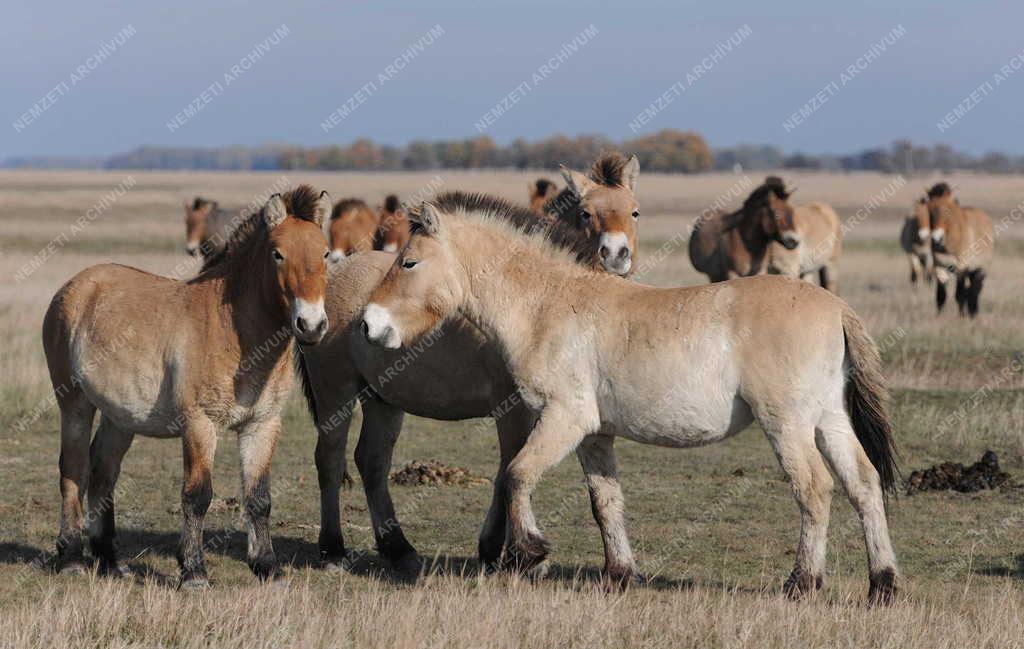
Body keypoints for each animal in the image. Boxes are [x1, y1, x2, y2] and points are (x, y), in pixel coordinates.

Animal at [45, 184, 331, 585]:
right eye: (278, 254)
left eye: (325, 253)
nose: (312, 325)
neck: (234, 331)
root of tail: (75, 286)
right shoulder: (200, 424)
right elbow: (197, 496)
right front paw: (194, 572)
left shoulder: (262, 425)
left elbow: (259, 498)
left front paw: (267, 567)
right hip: (74, 404)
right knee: (73, 469)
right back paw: (71, 558)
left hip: (120, 418)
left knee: (103, 474)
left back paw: (111, 562)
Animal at [294, 161, 638, 569]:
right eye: (586, 213)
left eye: (634, 210)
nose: (616, 254)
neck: (535, 301)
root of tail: (333, 275)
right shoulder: (513, 411)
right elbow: (509, 470)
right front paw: (509, 552)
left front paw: (501, 550)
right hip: (336, 392)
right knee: (330, 460)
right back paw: (333, 549)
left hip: (383, 399)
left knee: (372, 462)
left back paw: (399, 549)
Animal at [364, 200, 901, 601]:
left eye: (408, 262)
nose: (369, 324)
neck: (545, 305)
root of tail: (836, 307)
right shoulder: (594, 435)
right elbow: (606, 502)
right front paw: (620, 574)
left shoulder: (564, 418)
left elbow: (517, 475)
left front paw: (529, 552)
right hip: (828, 420)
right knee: (863, 484)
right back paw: (883, 584)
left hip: (787, 425)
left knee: (814, 489)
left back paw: (803, 583)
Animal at [929, 182, 991, 315]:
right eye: (929, 210)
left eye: (947, 210)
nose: (936, 238)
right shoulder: (940, 266)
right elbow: (940, 295)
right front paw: (938, 316)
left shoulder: (961, 268)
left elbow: (959, 294)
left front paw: (961, 317)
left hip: (979, 269)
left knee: (975, 289)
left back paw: (973, 313)